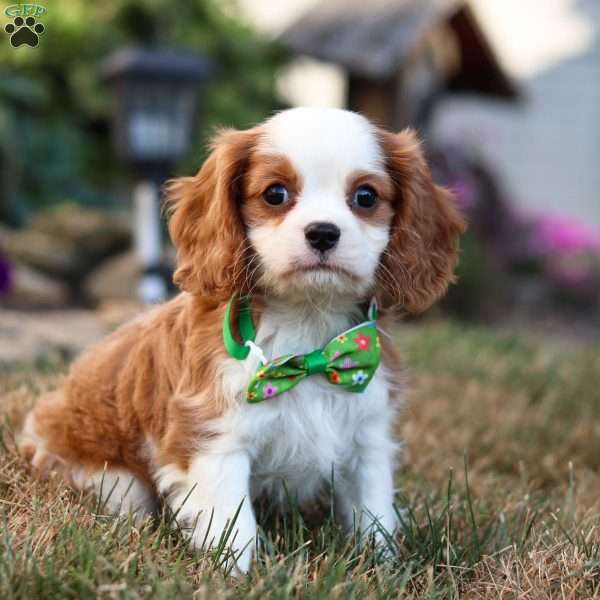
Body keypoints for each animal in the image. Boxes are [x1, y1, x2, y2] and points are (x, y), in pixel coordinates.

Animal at [19, 106, 464, 572]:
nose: (323, 232)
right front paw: (238, 574)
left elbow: (373, 512)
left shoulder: (368, 435)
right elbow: (231, 523)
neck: (308, 331)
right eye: (275, 194)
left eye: (365, 197)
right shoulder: (214, 439)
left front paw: (383, 566)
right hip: (109, 479)